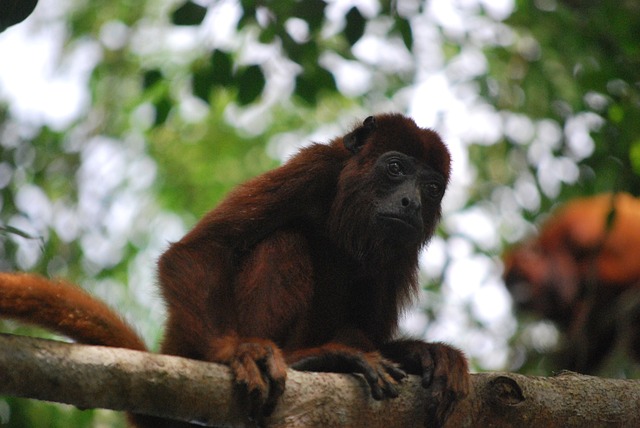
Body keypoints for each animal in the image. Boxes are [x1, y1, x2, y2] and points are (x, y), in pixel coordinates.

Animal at [0, 114, 470, 428]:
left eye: (431, 189)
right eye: (395, 168)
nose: (411, 203)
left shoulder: (402, 248)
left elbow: (372, 331)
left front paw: (423, 352)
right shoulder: (314, 169)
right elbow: (202, 249)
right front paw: (234, 351)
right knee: (285, 243)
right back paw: (309, 359)